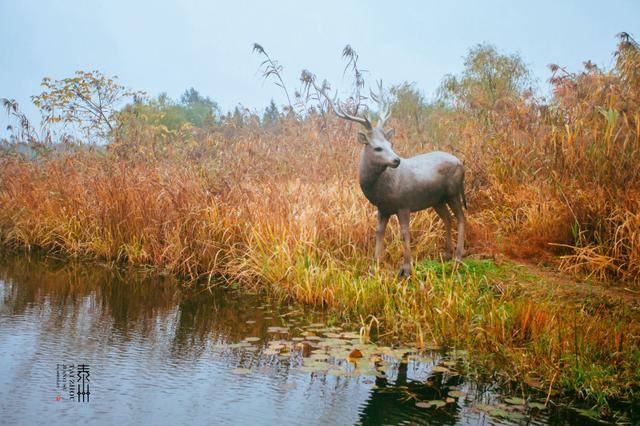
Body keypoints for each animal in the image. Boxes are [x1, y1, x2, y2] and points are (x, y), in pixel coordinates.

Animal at [320, 80, 464, 276]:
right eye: (377, 147)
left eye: (390, 144)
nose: (396, 160)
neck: (382, 189)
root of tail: (461, 162)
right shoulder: (383, 208)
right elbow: (379, 232)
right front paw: (374, 266)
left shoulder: (404, 204)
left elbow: (404, 232)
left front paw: (407, 268)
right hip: (437, 199)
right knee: (448, 218)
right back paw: (447, 254)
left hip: (454, 192)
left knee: (461, 218)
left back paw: (458, 257)